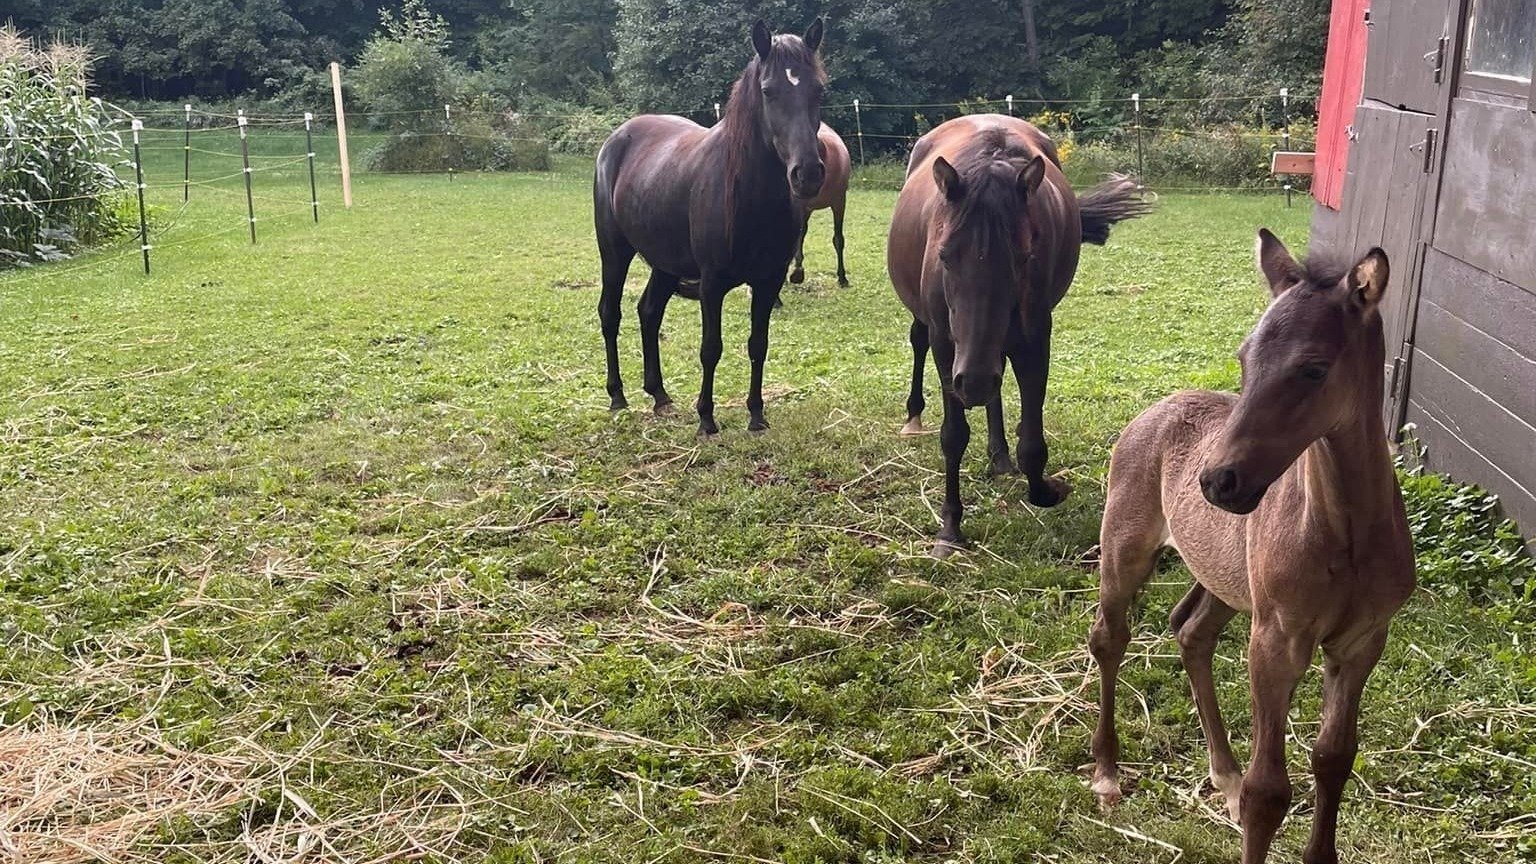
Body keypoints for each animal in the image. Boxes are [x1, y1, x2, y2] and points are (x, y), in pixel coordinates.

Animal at [594, 19, 826, 436]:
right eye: (768, 91)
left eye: (818, 89)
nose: (808, 174)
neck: (747, 194)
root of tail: (618, 137)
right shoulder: (712, 283)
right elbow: (711, 349)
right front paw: (706, 418)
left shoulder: (768, 281)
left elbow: (758, 345)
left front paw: (756, 415)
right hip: (614, 253)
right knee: (610, 314)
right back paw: (617, 397)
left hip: (665, 264)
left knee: (649, 312)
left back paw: (659, 395)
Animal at [886, 114, 1149, 556]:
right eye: (945, 255)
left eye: (1024, 257)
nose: (973, 381)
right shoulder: (947, 347)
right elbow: (953, 435)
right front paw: (950, 529)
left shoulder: (1035, 339)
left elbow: (1032, 443)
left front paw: (1048, 489)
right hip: (937, 335)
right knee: (919, 341)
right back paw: (915, 416)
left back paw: (999, 456)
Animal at [1088, 231, 1415, 864]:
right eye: (1244, 359)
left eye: (1313, 368)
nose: (1219, 481)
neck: (1347, 537)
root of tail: (1160, 407)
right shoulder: (1277, 640)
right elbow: (1271, 792)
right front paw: (1253, 798)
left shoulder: (1362, 642)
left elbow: (1333, 758)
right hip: (1124, 549)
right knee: (1109, 637)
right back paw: (1108, 773)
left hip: (1225, 578)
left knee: (1191, 631)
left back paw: (1225, 776)